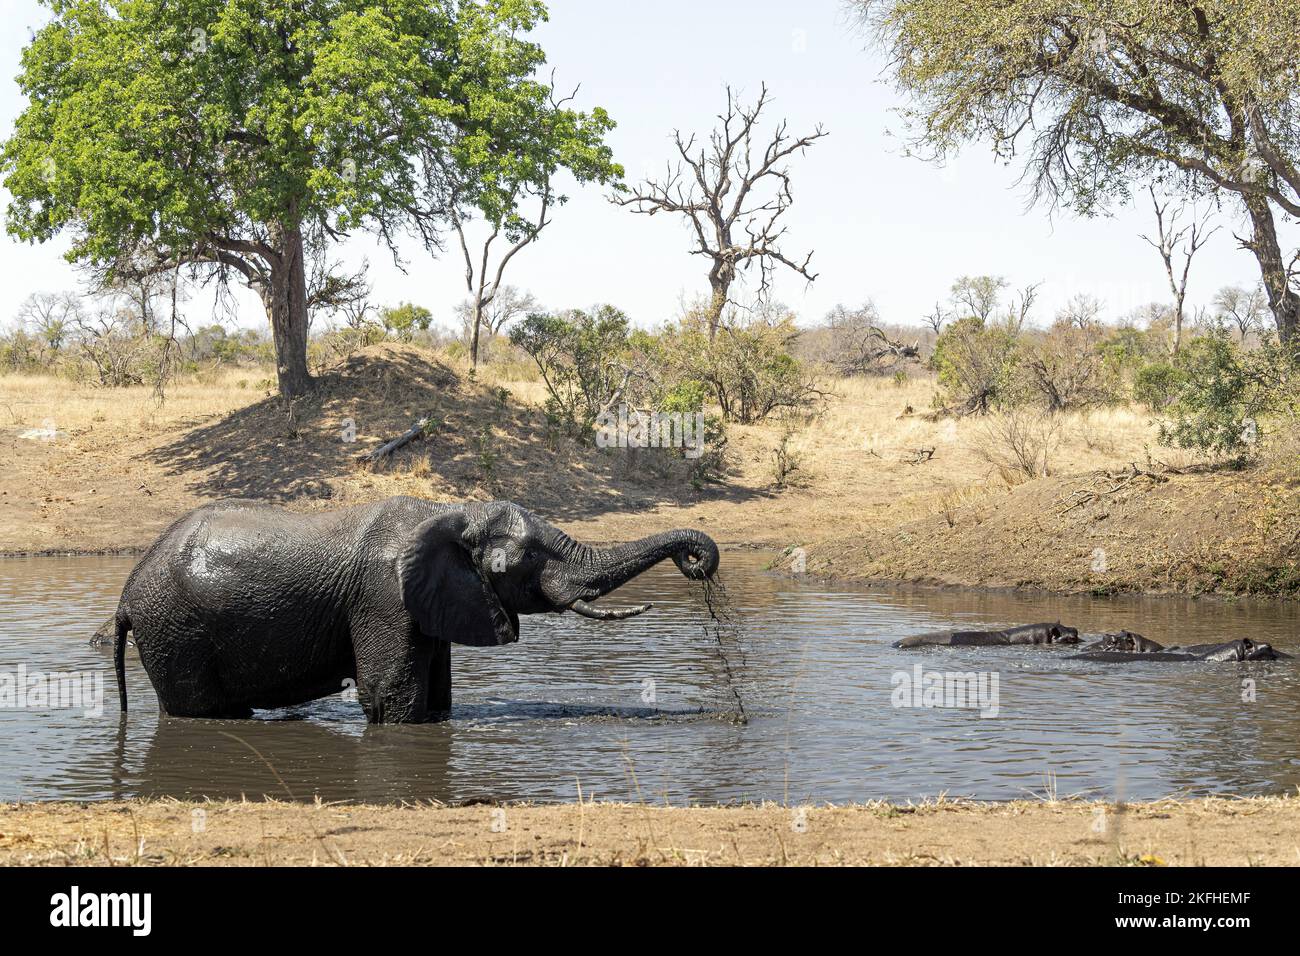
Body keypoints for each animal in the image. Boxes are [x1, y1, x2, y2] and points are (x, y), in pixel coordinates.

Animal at [109, 496, 722, 723]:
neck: (454, 514)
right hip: (176, 629)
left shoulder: (435, 600)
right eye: (530, 558)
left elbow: (436, 694)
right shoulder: (382, 597)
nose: (695, 558)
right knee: (202, 710)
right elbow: (390, 695)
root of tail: (126, 594)